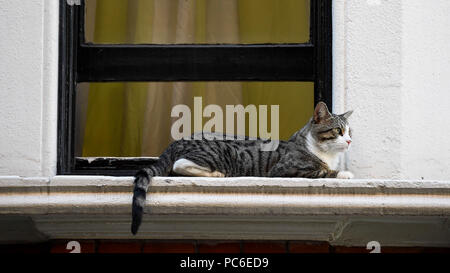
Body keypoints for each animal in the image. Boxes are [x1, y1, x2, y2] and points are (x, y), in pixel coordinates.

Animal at [132, 102, 354, 234]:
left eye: (349, 132)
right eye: (338, 131)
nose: (350, 141)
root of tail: (175, 142)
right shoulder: (286, 170)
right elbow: (322, 171)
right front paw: (344, 173)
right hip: (222, 153)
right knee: (179, 165)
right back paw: (217, 174)